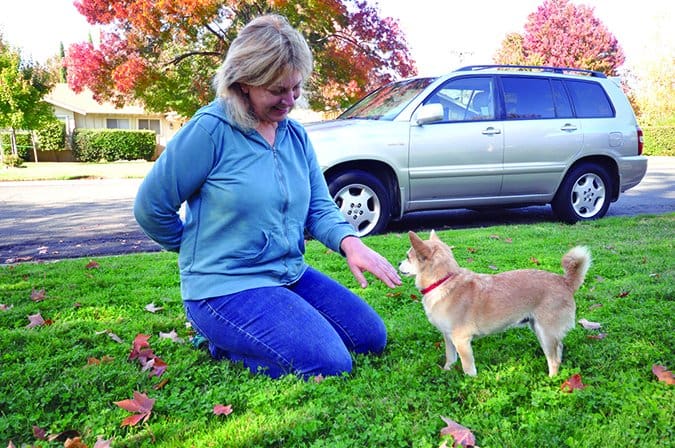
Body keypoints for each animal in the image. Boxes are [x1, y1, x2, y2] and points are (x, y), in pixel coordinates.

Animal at [402, 229, 592, 376]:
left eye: (407, 257)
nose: (398, 262)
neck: (444, 280)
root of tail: (565, 282)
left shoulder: (462, 341)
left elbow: (468, 367)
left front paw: (470, 383)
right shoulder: (448, 337)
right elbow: (450, 357)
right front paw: (447, 370)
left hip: (546, 334)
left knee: (554, 360)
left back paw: (551, 381)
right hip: (540, 330)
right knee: (559, 351)